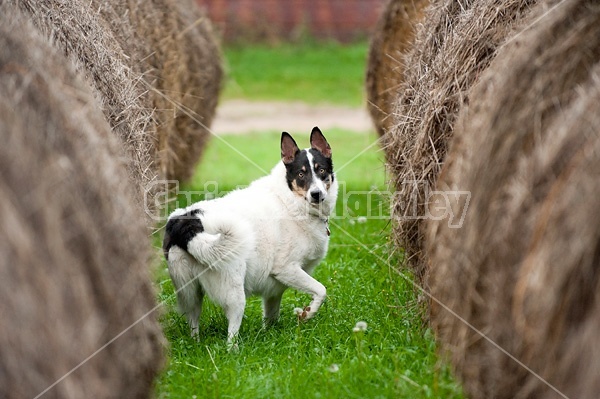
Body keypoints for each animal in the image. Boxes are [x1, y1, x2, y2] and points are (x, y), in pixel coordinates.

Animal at [164, 126, 338, 346]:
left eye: (321, 170)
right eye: (301, 174)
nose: (316, 194)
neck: (290, 199)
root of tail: (187, 221)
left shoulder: (275, 289)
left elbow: (271, 316)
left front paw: (270, 335)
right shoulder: (286, 269)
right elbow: (321, 290)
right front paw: (307, 314)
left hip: (189, 292)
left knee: (193, 321)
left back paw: (197, 344)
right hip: (235, 292)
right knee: (230, 336)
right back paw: (234, 350)